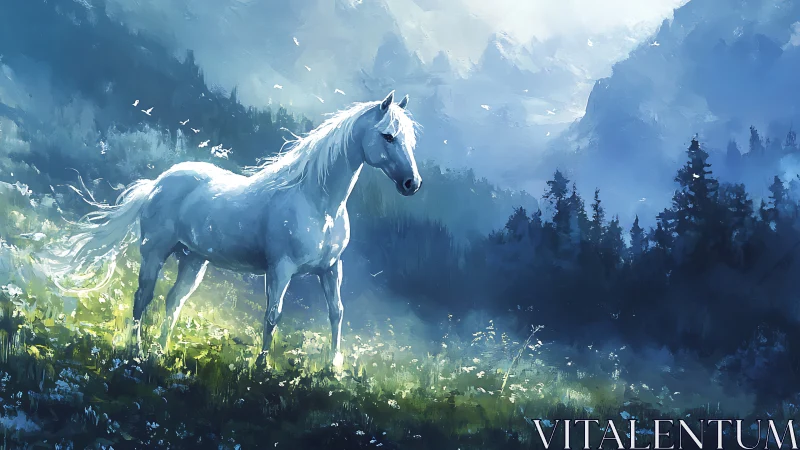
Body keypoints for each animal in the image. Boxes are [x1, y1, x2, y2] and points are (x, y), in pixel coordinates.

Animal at [51, 91, 421, 367]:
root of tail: (157, 183)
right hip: (155, 253)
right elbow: (273, 316)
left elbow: (337, 313)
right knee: (143, 298)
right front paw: (261, 367)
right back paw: (136, 351)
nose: (412, 183)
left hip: (193, 260)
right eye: (388, 136)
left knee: (173, 302)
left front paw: (333, 368)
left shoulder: (331, 269)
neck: (318, 203)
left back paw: (160, 352)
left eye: (410, 141)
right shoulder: (280, 269)